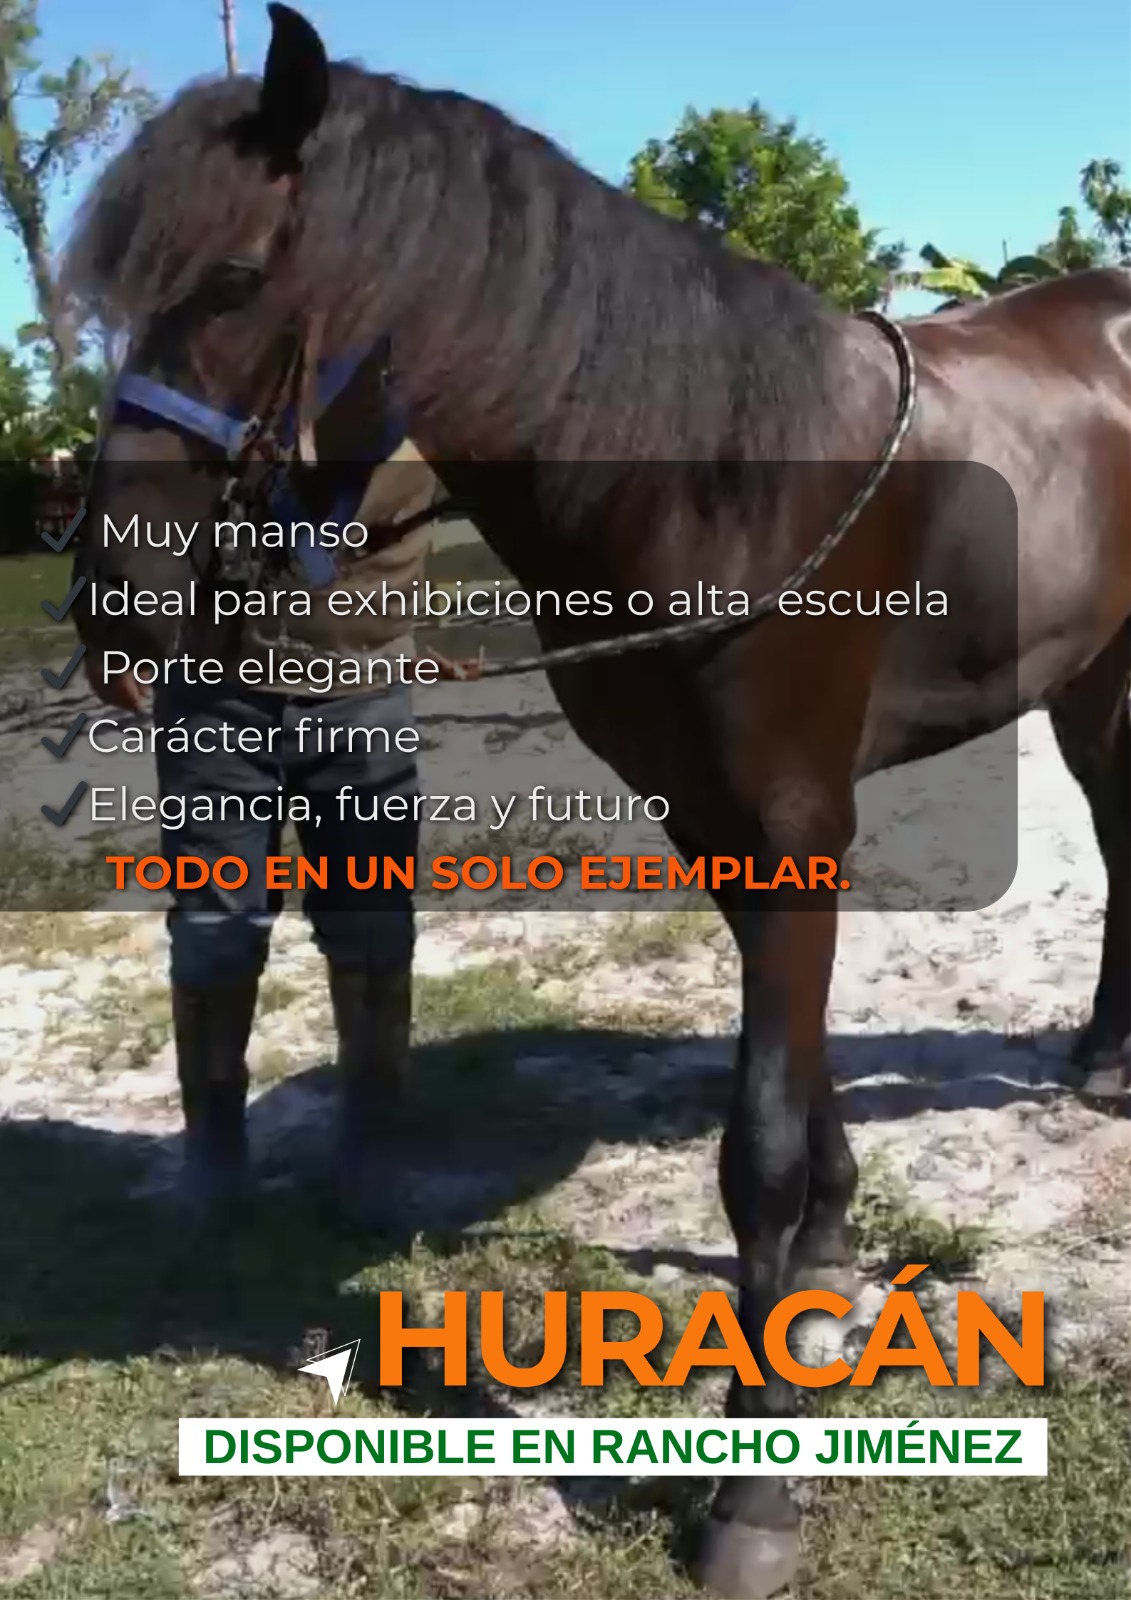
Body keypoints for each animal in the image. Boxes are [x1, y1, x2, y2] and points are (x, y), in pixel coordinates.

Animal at [56, 6, 1130, 1595]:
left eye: (237, 278)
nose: (112, 607)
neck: (713, 477)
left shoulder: (792, 822)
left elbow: (754, 1145)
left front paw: (754, 1489)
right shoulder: (720, 829)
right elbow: (793, 1086)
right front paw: (827, 1253)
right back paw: (1105, 1055)